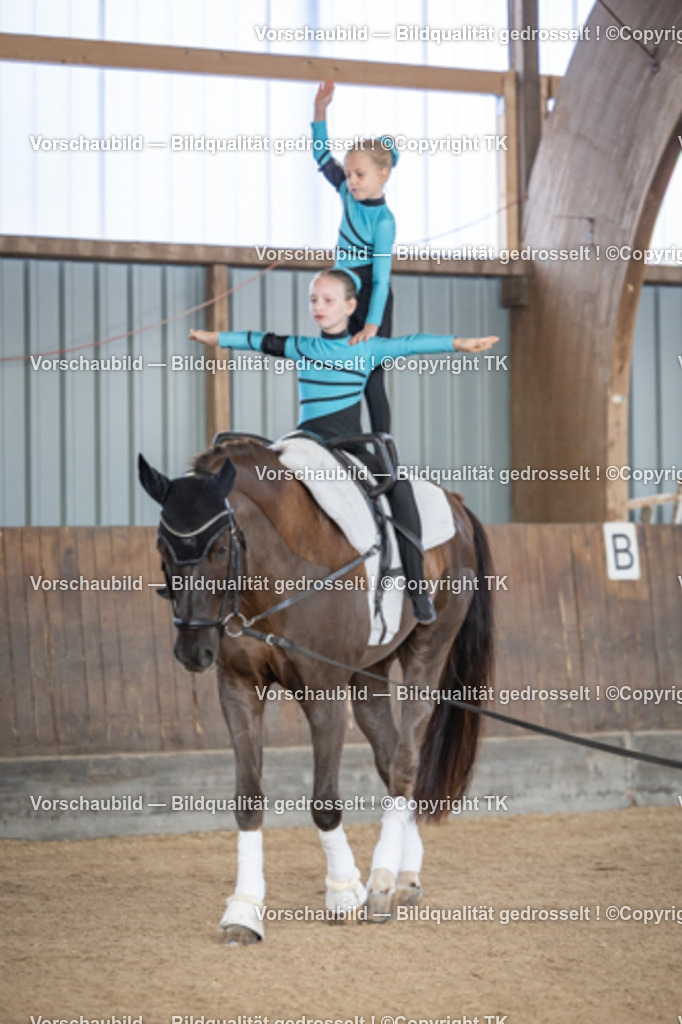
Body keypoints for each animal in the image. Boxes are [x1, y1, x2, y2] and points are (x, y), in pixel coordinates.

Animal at [138, 437, 494, 944]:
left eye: (221, 546)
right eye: (161, 546)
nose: (193, 650)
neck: (274, 574)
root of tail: (456, 503)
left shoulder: (323, 692)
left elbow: (325, 802)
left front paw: (344, 893)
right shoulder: (239, 689)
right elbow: (248, 797)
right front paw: (244, 910)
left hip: (430, 649)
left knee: (406, 761)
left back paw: (380, 884)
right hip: (369, 673)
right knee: (389, 758)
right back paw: (404, 876)